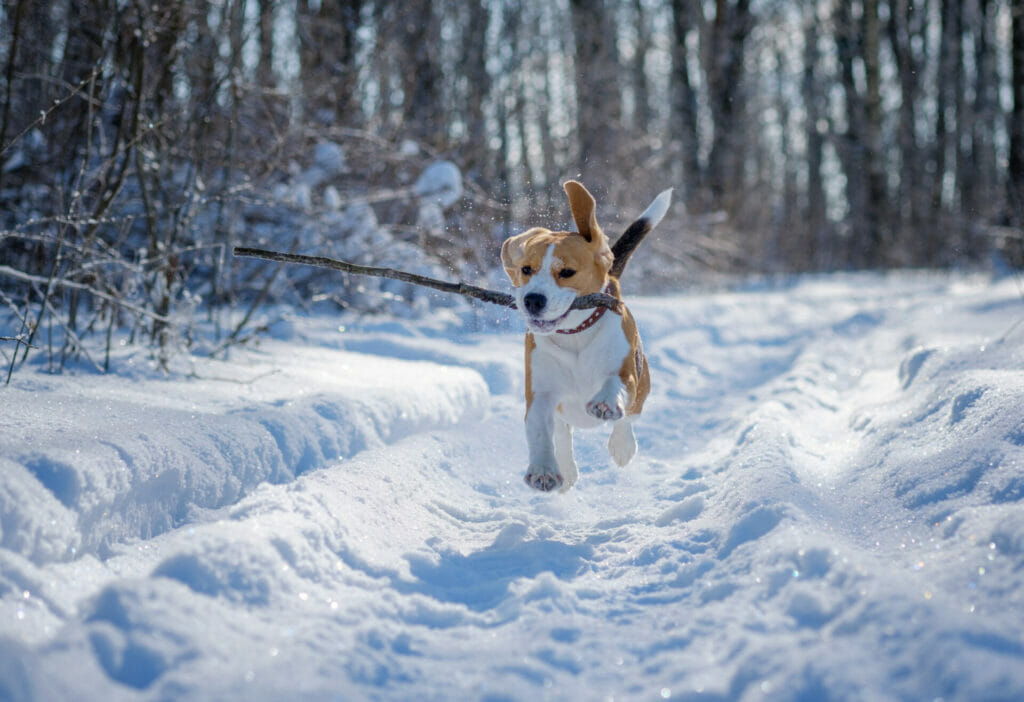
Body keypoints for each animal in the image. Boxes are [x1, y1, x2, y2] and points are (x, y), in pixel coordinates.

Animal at [501, 181, 671, 493]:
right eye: (526, 270)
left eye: (567, 272)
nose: (532, 300)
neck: (574, 336)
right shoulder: (540, 393)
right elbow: (540, 430)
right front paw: (543, 470)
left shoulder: (626, 373)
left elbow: (615, 384)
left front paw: (605, 403)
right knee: (562, 432)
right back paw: (566, 469)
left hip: (643, 386)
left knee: (630, 416)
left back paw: (622, 446)